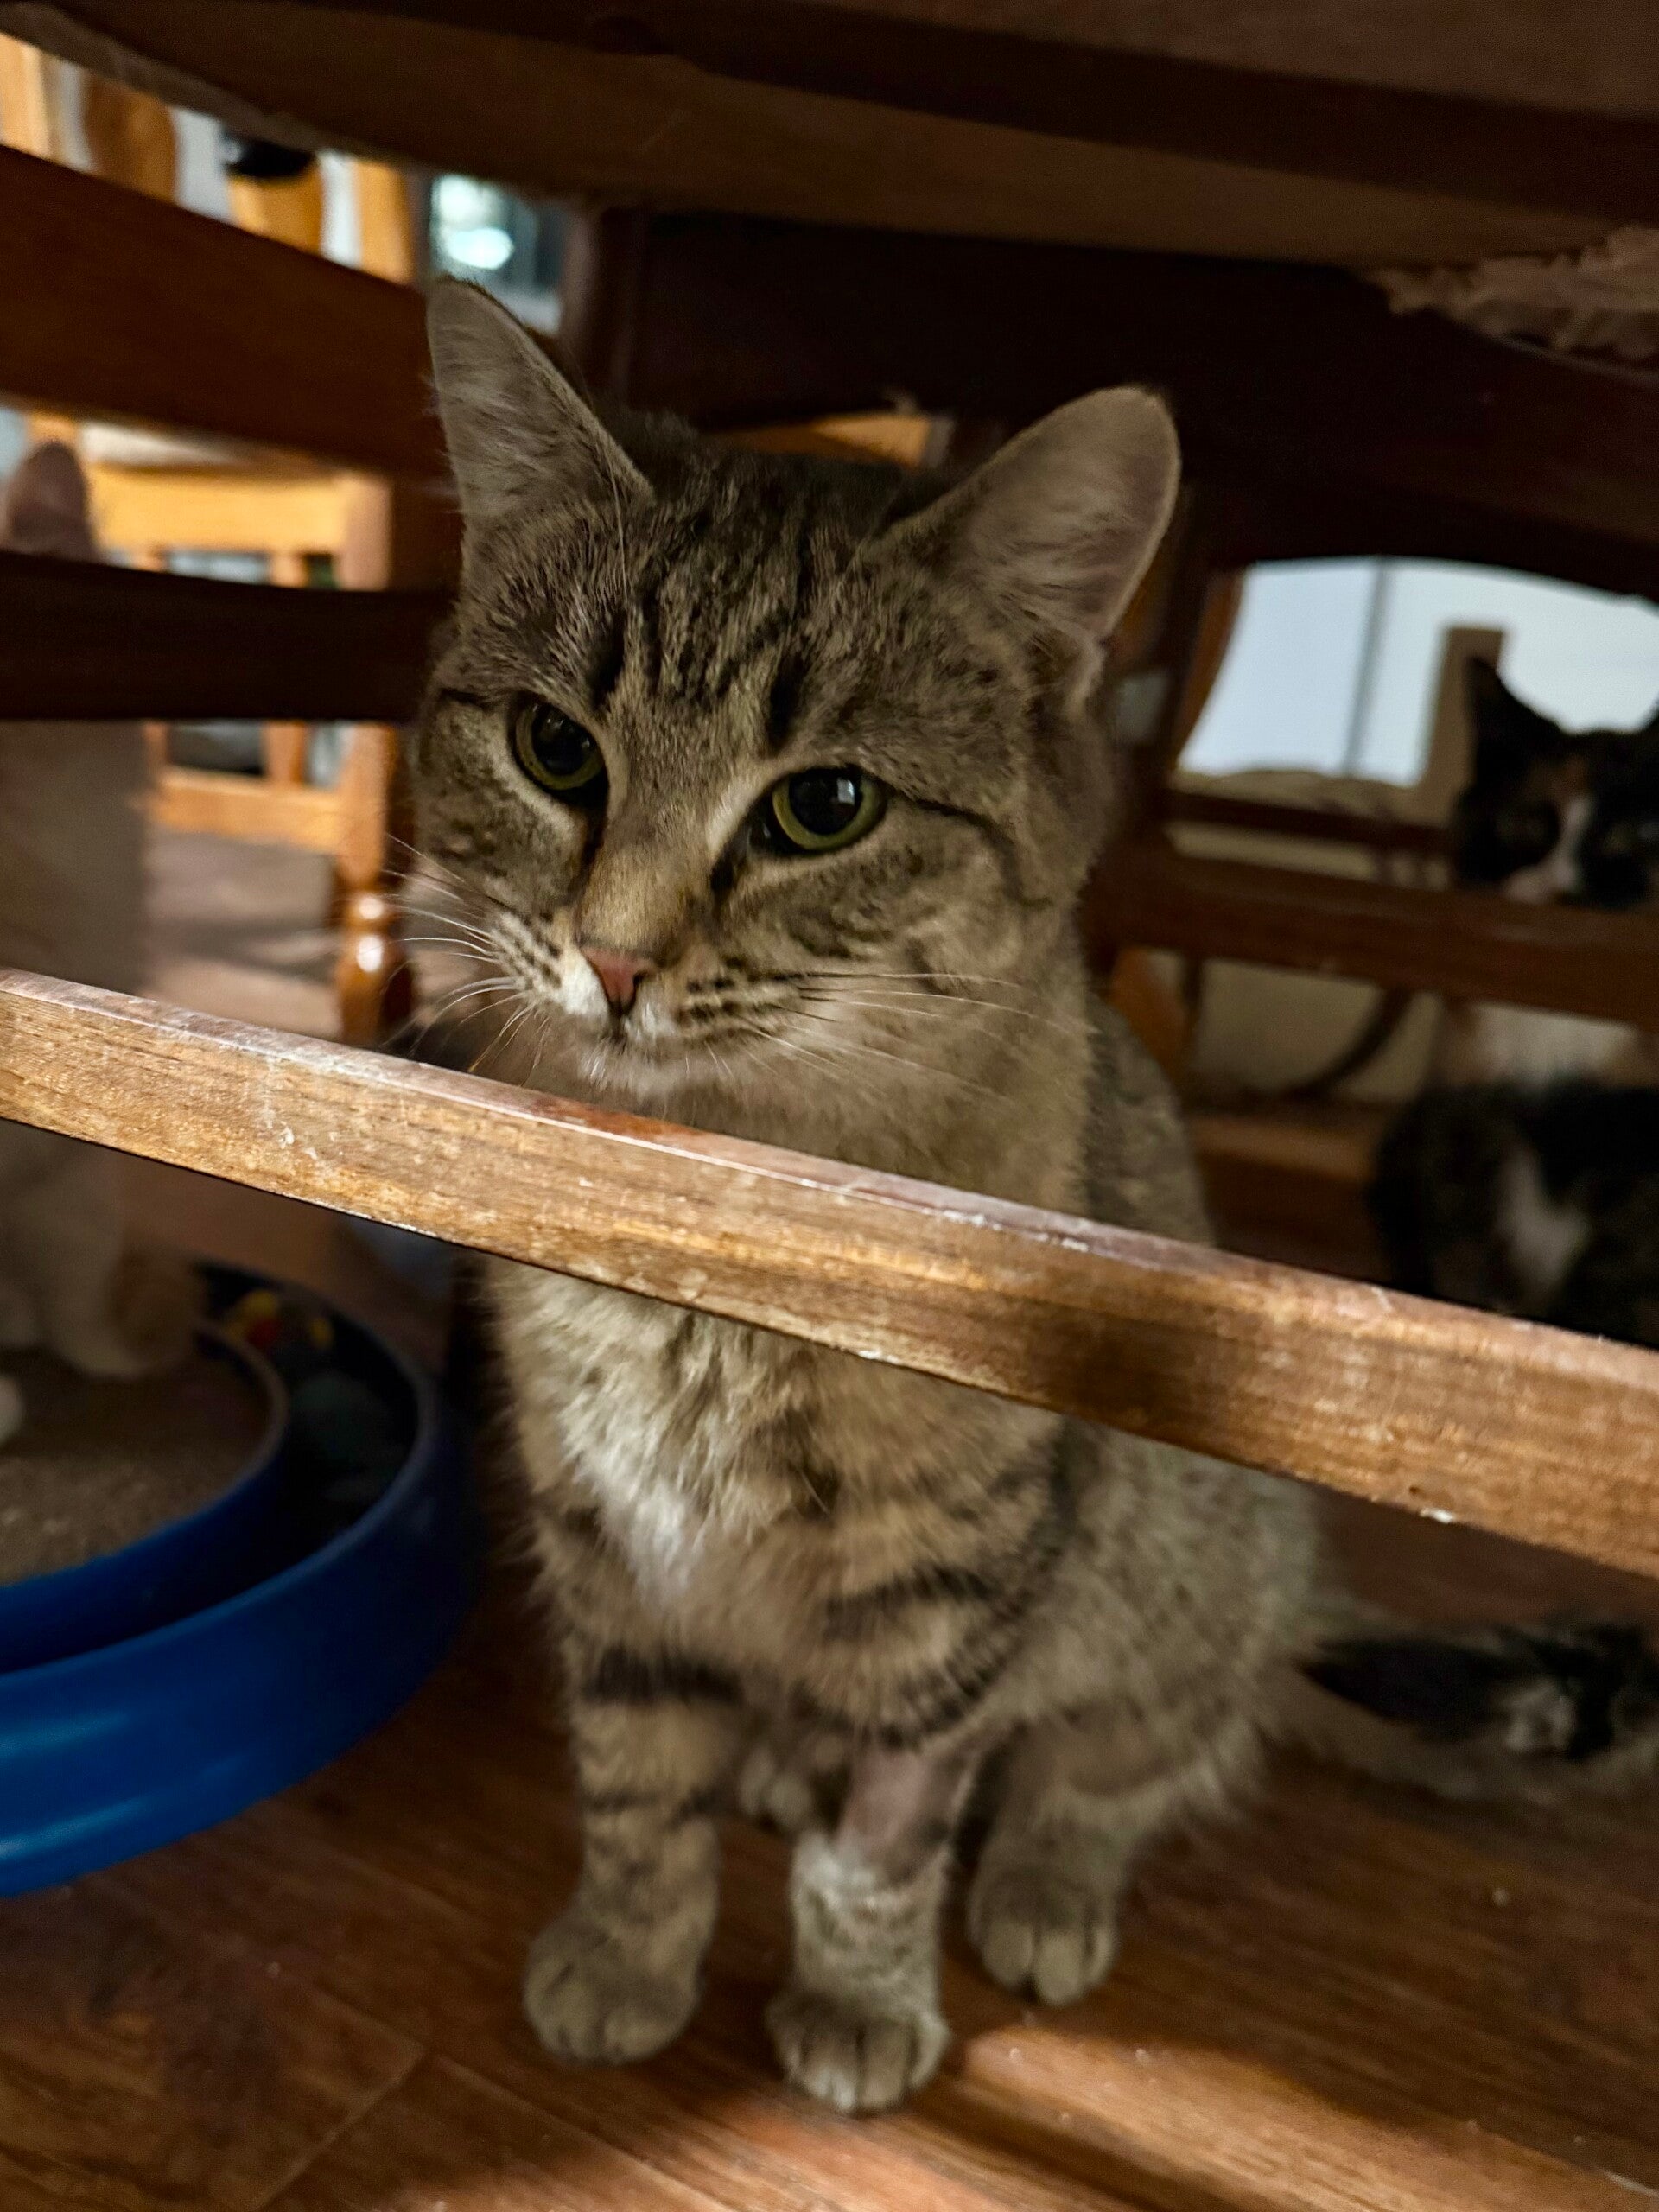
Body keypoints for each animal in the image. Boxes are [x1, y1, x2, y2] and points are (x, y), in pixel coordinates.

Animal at [412, 281, 1659, 2114]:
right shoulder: (609, 1550)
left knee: (1123, 1771)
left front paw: (858, 1996)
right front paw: (628, 1954)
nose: (618, 963)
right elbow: (641, 1792)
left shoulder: (964, 1585)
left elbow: (886, 1839)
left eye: (825, 806)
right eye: (554, 748)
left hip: (1177, 1589)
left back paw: (1045, 1887)